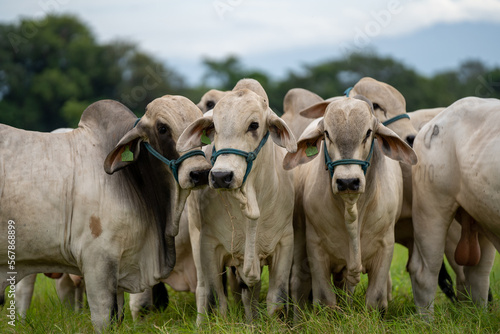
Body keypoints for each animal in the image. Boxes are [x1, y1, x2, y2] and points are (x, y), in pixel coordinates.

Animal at [0, 96, 211, 332]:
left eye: (202, 128)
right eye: (162, 128)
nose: (200, 172)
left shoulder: (119, 269)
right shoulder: (98, 263)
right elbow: (105, 320)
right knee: (24, 293)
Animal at [178, 78, 296, 324]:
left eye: (254, 125)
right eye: (214, 127)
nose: (221, 176)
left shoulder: (285, 243)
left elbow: (277, 301)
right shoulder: (209, 246)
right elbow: (215, 301)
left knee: (249, 294)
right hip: (196, 235)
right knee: (202, 289)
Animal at [284, 96, 416, 314]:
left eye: (369, 133)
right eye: (326, 133)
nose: (347, 182)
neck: (352, 210)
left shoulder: (385, 247)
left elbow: (374, 299)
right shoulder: (316, 248)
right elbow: (326, 299)